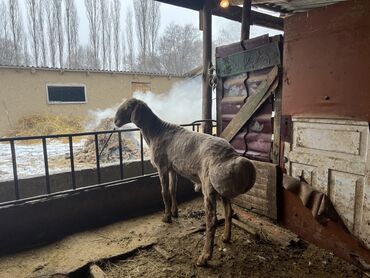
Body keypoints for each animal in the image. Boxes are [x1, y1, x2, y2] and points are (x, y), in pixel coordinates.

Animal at [114, 99, 256, 266]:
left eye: (127, 107)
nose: (115, 121)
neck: (155, 132)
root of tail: (230, 156)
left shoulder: (162, 167)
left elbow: (164, 192)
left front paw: (167, 217)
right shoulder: (172, 168)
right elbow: (172, 189)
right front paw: (175, 212)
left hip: (208, 186)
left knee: (212, 220)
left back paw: (204, 257)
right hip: (221, 185)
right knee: (228, 212)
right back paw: (226, 238)